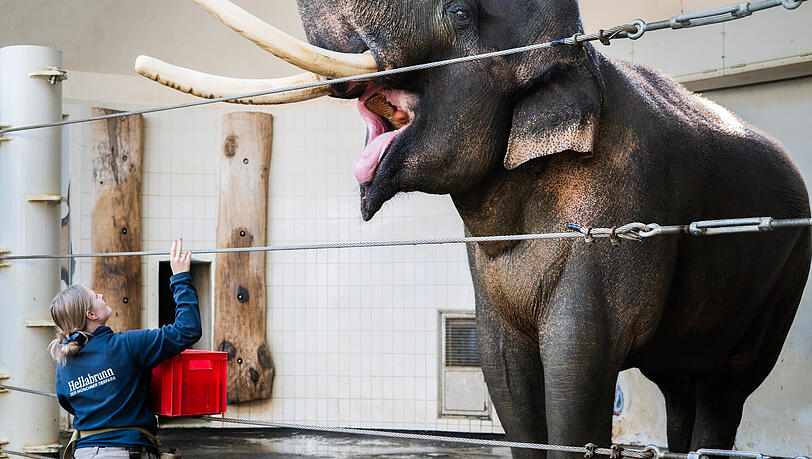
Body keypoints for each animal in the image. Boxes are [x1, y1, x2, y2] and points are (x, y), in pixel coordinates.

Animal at [135, 0, 811, 457]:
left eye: (459, 11)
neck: (577, 56)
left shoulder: (618, 212)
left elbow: (577, 366)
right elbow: (503, 370)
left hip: (783, 279)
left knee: (726, 388)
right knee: (678, 384)